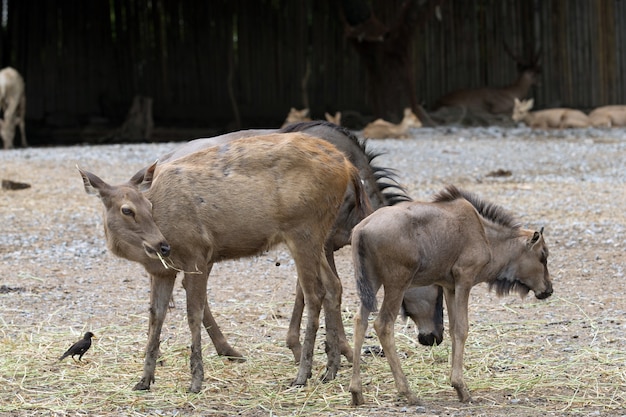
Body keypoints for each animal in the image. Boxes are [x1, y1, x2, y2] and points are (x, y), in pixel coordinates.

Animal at [78, 132, 370, 390]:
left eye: (148, 206)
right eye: (127, 210)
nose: (162, 245)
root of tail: (348, 165)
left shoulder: (197, 252)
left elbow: (193, 313)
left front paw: (196, 380)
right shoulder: (161, 271)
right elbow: (155, 316)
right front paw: (144, 380)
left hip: (304, 228)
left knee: (314, 292)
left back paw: (302, 374)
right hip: (316, 234)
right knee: (334, 285)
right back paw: (329, 370)